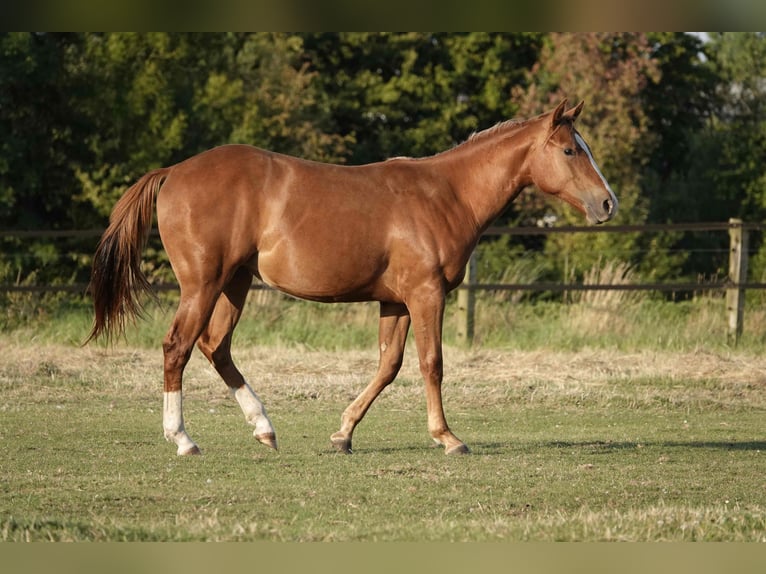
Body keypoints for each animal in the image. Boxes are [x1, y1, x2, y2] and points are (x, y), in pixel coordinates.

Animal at [87, 99, 617, 456]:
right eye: (570, 151)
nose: (608, 203)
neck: (446, 194)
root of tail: (174, 171)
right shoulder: (426, 295)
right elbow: (431, 364)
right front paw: (448, 437)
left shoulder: (396, 302)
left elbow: (388, 366)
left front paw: (343, 433)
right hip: (203, 284)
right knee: (177, 347)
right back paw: (183, 439)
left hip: (234, 283)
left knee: (216, 347)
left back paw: (264, 427)